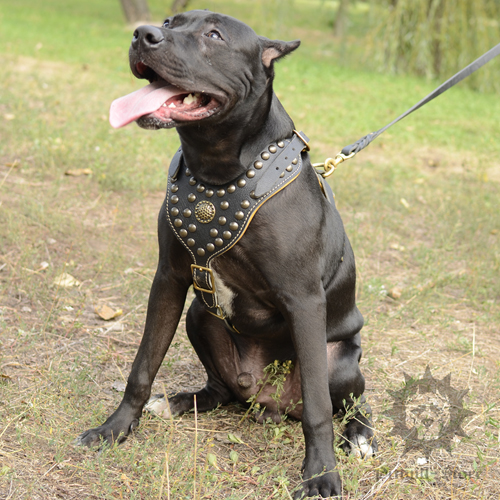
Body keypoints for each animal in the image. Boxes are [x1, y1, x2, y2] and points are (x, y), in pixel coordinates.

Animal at [78, 9, 376, 498]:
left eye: (214, 35)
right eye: (168, 21)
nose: (143, 34)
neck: (218, 171)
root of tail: (267, 401)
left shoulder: (304, 300)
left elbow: (318, 409)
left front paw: (321, 474)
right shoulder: (169, 279)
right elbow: (142, 367)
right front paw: (115, 429)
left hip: (340, 360)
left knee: (349, 404)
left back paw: (361, 435)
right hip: (200, 317)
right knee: (222, 390)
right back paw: (182, 401)